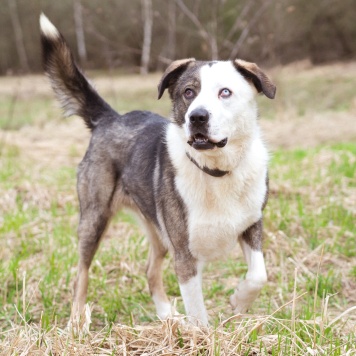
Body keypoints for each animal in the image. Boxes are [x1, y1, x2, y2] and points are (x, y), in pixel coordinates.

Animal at [40, 13, 276, 326]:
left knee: (150, 271)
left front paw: (239, 300)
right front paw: (204, 333)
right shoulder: (184, 255)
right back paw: (78, 322)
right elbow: (198, 314)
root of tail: (110, 118)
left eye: (225, 92)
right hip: (94, 218)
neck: (214, 170)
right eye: (188, 92)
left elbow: (259, 275)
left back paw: (167, 316)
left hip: (158, 230)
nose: (197, 117)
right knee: (82, 273)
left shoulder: (251, 223)